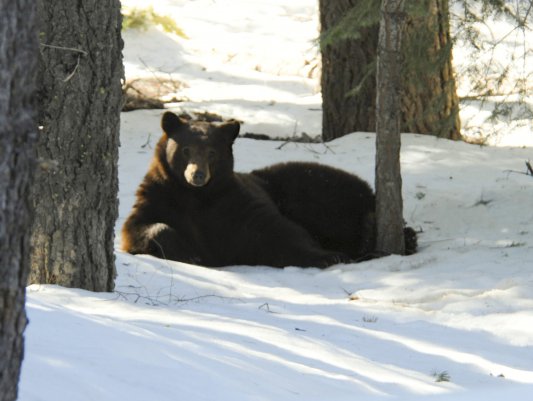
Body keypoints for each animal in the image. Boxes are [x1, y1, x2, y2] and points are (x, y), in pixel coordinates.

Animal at [121, 111, 416, 268]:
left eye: (212, 152)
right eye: (185, 149)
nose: (198, 175)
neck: (197, 198)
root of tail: (369, 193)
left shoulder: (233, 205)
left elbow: (278, 231)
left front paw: (328, 255)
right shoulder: (160, 197)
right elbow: (140, 227)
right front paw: (190, 252)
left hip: (322, 195)